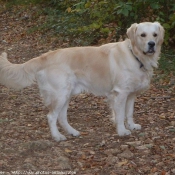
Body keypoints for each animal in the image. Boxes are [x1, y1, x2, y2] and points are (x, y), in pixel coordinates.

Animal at [0, 22, 164, 142]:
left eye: (155, 35)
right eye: (142, 35)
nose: (151, 44)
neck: (135, 55)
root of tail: (45, 56)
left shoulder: (131, 94)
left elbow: (129, 113)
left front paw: (132, 125)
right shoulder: (120, 93)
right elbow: (120, 115)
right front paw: (122, 130)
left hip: (66, 95)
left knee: (61, 117)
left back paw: (72, 132)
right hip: (60, 94)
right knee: (51, 116)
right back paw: (57, 136)